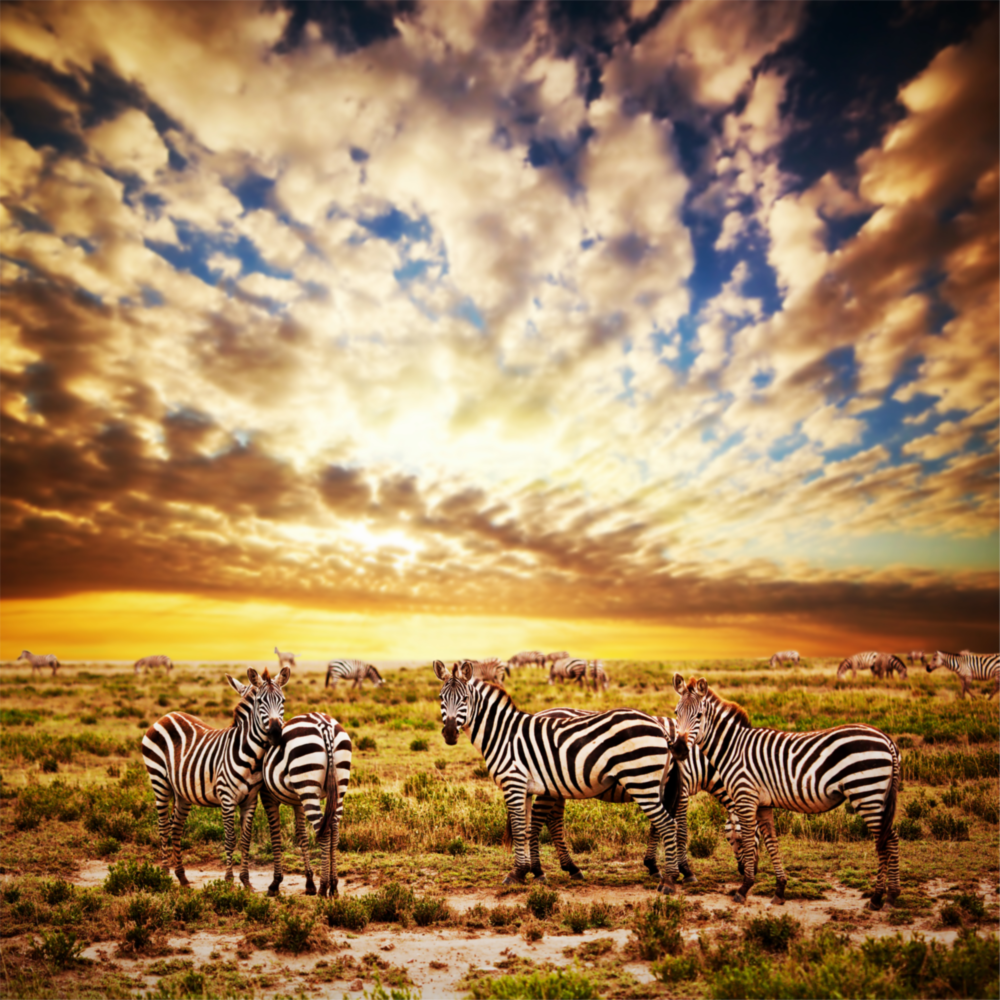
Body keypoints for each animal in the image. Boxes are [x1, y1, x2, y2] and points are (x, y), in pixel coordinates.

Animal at [141, 666, 290, 888]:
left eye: (283, 701)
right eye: (260, 701)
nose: (275, 733)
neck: (252, 756)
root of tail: (167, 715)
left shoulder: (250, 800)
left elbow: (245, 839)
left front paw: (246, 881)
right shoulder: (227, 798)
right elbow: (230, 838)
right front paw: (228, 880)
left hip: (182, 792)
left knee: (176, 828)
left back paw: (182, 876)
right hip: (159, 780)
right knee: (163, 827)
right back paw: (164, 875)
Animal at [261, 712, 352, 898]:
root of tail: (324, 724)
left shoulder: (267, 796)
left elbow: (275, 835)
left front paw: (275, 883)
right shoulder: (298, 800)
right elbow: (301, 835)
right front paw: (309, 883)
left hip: (307, 783)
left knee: (323, 832)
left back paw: (324, 888)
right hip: (337, 786)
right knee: (334, 831)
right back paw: (334, 886)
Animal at [433, 659, 684, 893]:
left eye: (465, 699)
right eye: (440, 698)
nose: (449, 733)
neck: (502, 734)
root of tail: (659, 727)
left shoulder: (513, 783)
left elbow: (518, 828)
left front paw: (516, 873)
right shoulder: (524, 787)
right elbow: (526, 828)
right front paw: (527, 871)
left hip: (641, 781)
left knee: (667, 824)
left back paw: (669, 881)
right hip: (650, 783)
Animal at [672, 674, 901, 909]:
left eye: (699, 715)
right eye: (676, 713)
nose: (677, 749)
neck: (733, 749)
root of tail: (886, 739)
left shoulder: (746, 797)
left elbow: (750, 839)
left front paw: (744, 888)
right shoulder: (763, 804)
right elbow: (772, 843)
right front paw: (780, 890)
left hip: (867, 793)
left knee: (888, 840)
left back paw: (879, 897)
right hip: (877, 796)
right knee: (891, 839)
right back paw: (889, 895)